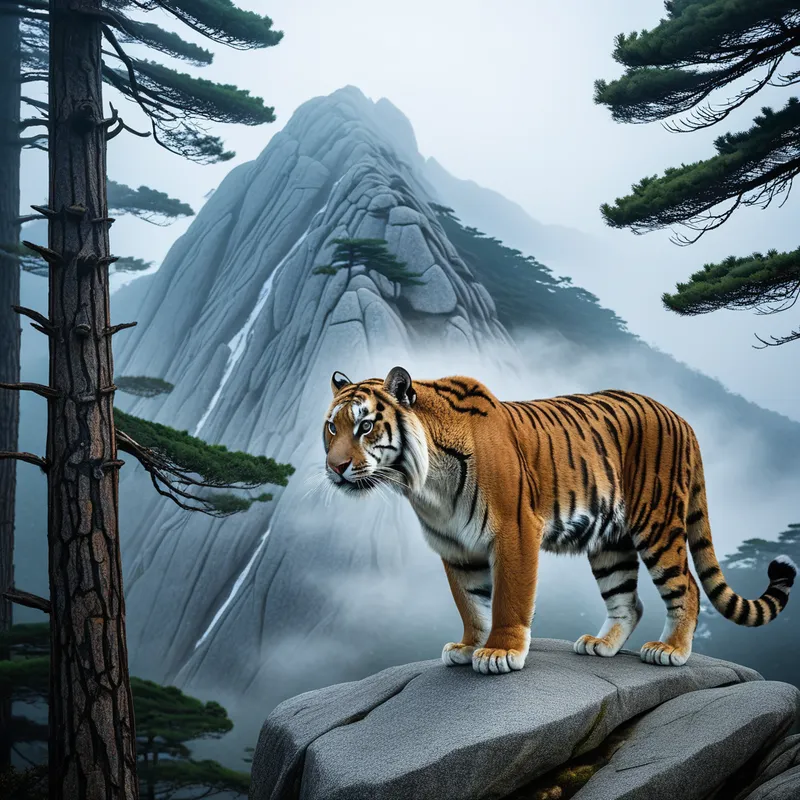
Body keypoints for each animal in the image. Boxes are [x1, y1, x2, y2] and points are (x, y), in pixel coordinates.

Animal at [322, 366, 796, 675]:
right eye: (331, 428)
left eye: (365, 426)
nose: (335, 467)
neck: (423, 483)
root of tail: (683, 420)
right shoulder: (455, 548)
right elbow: (470, 604)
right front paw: (468, 646)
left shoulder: (513, 531)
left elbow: (508, 599)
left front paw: (499, 653)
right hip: (610, 544)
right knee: (628, 600)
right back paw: (601, 645)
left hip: (657, 524)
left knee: (688, 588)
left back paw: (670, 650)